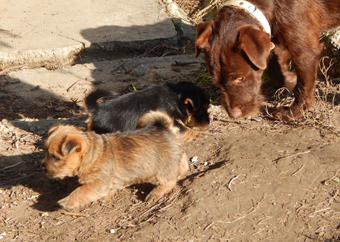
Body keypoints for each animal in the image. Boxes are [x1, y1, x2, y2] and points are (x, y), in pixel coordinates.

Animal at [41, 110, 189, 209]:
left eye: (55, 157)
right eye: (45, 151)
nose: (42, 166)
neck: (92, 154)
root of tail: (166, 128)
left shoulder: (98, 182)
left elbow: (80, 191)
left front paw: (65, 202)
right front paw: (107, 196)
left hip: (164, 169)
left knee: (168, 182)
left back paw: (154, 194)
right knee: (183, 163)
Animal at [195, 0, 340, 121]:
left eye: (240, 78)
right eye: (217, 81)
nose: (233, 114)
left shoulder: (305, 50)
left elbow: (304, 85)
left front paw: (293, 113)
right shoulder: (275, 42)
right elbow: (274, 70)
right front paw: (292, 81)